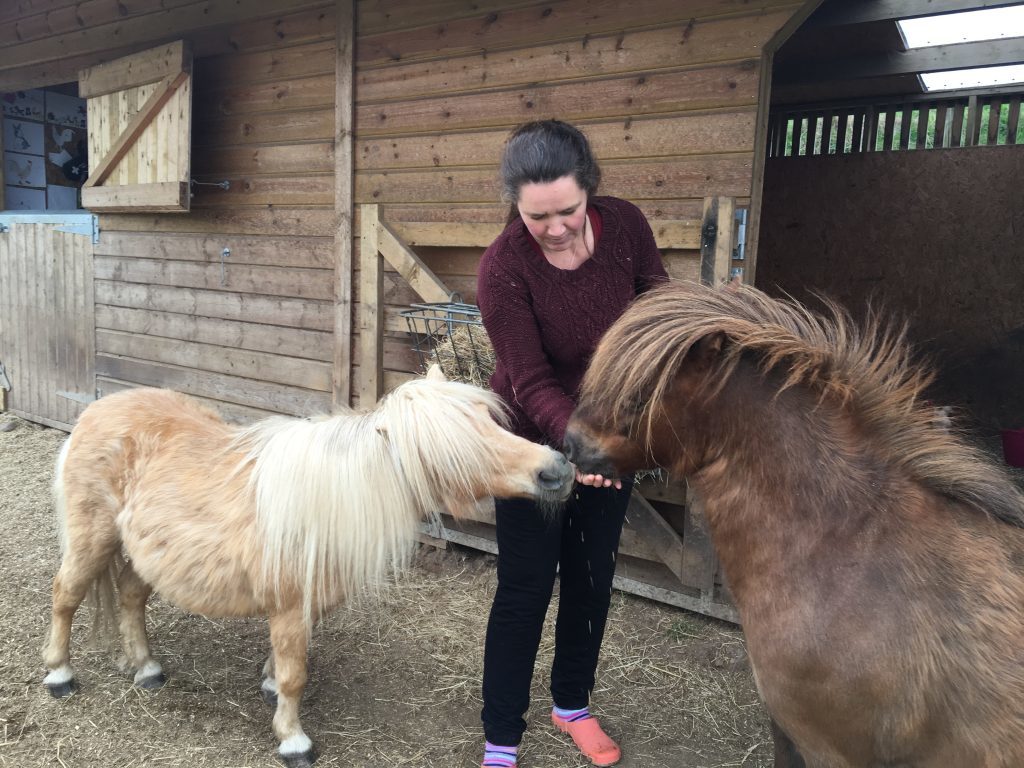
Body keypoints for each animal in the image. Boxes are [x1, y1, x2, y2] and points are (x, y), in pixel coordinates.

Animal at [44, 368, 573, 768]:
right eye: (452, 447)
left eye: (490, 421)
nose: (557, 471)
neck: (331, 497)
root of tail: (95, 411)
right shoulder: (288, 608)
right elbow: (295, 675)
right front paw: (293, 740)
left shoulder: (306, 607)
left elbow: (286, 665)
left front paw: (268, 685)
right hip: (92, 541)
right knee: (65, 595)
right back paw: (59, 675)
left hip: (139, 554)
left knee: (131, 599)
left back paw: (147, 669)